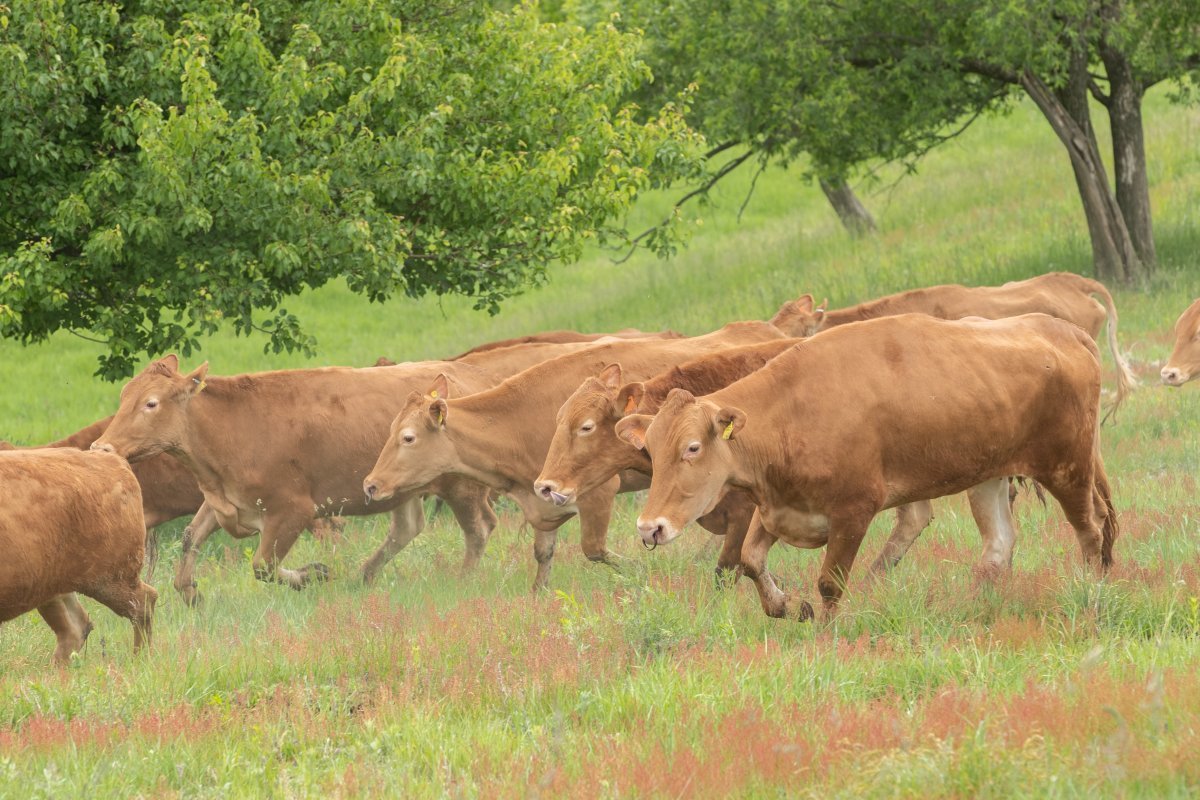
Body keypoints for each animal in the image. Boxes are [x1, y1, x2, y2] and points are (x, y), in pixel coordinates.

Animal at [0, 450, 157, 662]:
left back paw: (140, 659)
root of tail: (112, 459)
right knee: (76, 627)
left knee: (144, 603)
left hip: (111, 580)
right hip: (54, 587)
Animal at [91, 357, 499, 599]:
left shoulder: (292, 511)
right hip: (400, 488)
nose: (102, 447)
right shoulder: (223, 500)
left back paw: (463, 581)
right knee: (407, 528)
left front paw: (313, 574)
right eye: (124, 396)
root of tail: (465, 373)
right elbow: (191, 538)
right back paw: (364, 576)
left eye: (151, 403)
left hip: (461, 485)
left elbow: (263, 565)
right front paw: (190, 591)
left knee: (478, 528)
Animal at [360, 321, 792, 592]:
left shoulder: (598, 493)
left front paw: (639, 571)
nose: (371, 485)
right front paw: (538, 594)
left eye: (408, 437)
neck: (515, 422)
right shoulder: (543, 499)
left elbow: (594, 549)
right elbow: (543, 551)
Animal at [619, 311, 1113, 618]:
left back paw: (1090, 593)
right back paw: (978, 604)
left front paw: (825, 634)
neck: (792, 411)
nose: (649, 528)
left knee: (1091, 529)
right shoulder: (777, 507)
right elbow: (751, 560)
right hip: (988, 476)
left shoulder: (853, 511)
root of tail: (1062, 330)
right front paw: (784, 606)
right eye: (652, 451)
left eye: (692, 448)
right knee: (998, 546)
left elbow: (829, 583)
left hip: (1067, 466)